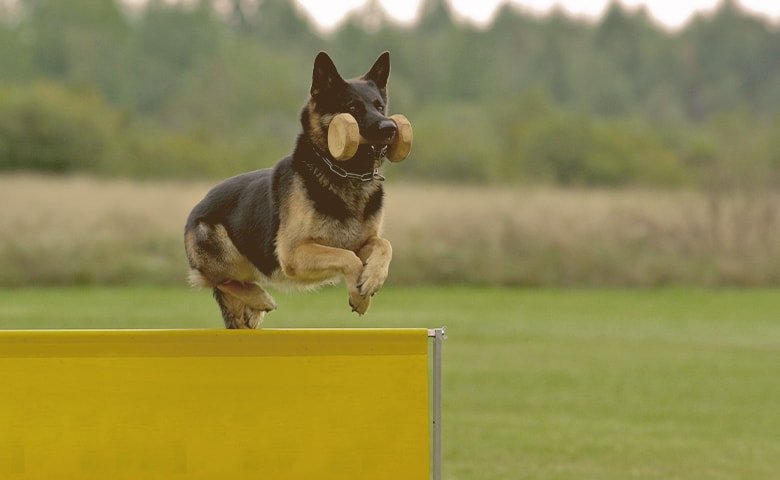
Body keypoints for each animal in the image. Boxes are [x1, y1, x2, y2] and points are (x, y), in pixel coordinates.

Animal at [184, 53, 396, 330]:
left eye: (379, 106)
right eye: (352, 108)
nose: (390, 128)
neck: (343, 173)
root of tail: (198, 205)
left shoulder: (362, 243)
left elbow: (383, 245)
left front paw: (372, 279)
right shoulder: (295, 253)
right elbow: (349, 258)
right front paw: (359, 296)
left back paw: (253, 310)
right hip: (220, 243)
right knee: (220, 280)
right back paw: (260, 299)